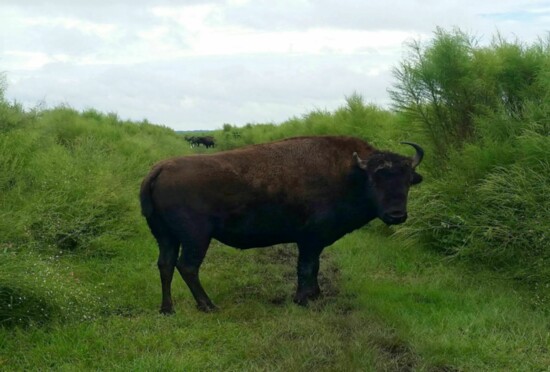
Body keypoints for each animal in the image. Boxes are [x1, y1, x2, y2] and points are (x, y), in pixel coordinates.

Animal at [140, 135, 424, 312]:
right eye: (376, 178)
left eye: (408, 179)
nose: (397, 215)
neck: (350, 173)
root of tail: (158, 169)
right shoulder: (310, 240)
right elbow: (307, 267)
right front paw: (303, 299)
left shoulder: (313, 242)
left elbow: (313, 268)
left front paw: (315, 295)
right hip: (196, 238)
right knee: (187, 267)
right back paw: (208, 306)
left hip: (165, 237)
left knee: (165, 265)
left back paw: (168, 309)